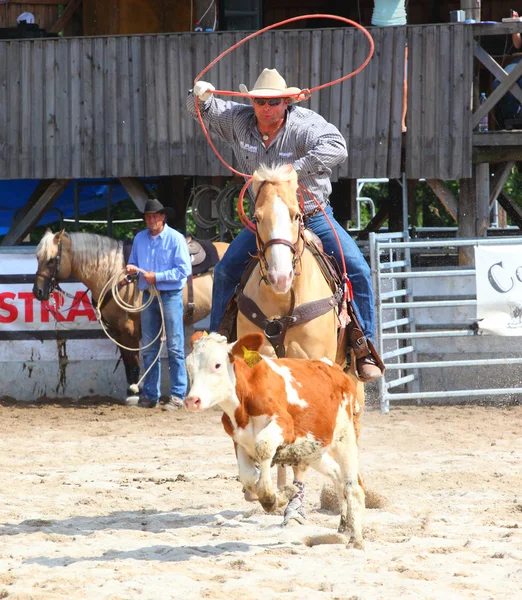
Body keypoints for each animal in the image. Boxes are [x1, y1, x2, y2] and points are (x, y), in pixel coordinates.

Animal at [32, 230, 228, 404]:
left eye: (51, 260)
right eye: (37, 258)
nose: (38, 291)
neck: (113, 275)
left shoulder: (129, 329)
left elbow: (133, 362)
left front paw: (135, 393)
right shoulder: (117, 331)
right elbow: (127, 362)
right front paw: (131, 392)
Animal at [185, 332, 364, 548]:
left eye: (217, 365)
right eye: (188, 365)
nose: (192, 400)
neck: (244, 401)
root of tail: (334, 368)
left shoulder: (284, 425)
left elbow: (263, 447)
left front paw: (272, 497)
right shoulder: (239, 440)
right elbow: (247, 476)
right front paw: (282, 494)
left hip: (346, 436)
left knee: (353, 486)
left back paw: (356, 540)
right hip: (313, 448)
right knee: (337, 474)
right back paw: (344, 526)